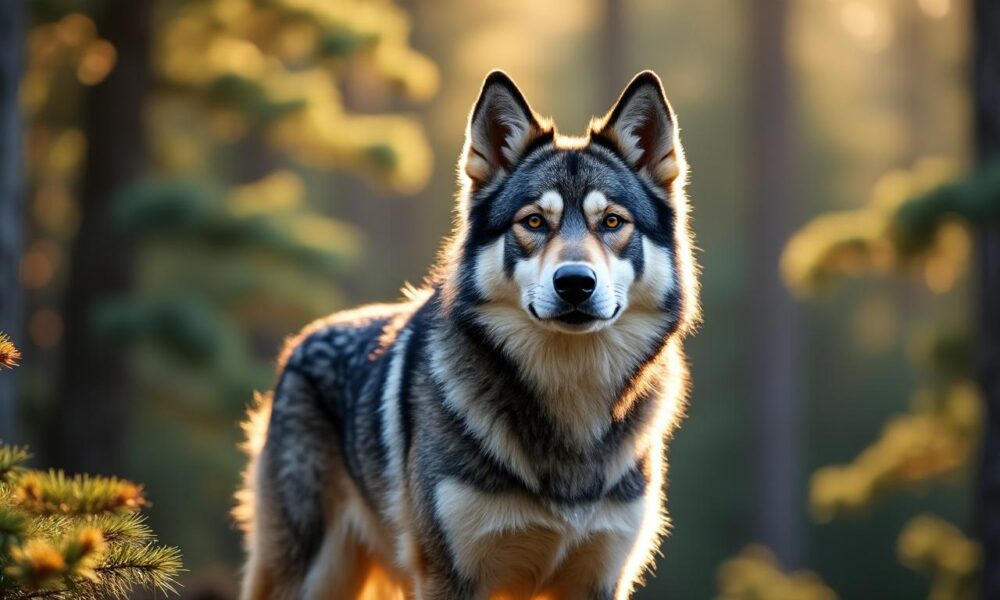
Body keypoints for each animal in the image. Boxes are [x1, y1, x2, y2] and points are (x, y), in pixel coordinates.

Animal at [236, 69, 700, 600]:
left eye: (612, 222)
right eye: (534, 221)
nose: (575, 283)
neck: (570, 406)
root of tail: (300, 343)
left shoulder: (602, 579)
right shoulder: (448, 577)